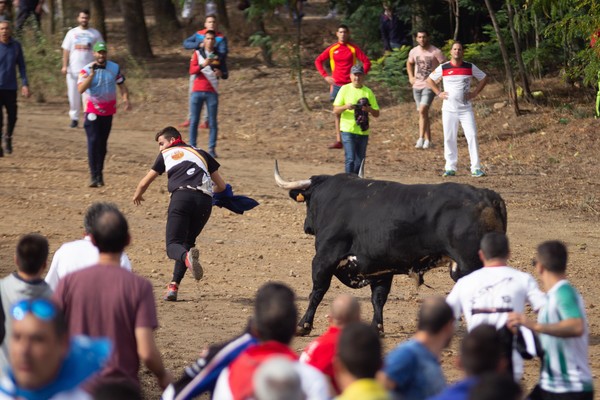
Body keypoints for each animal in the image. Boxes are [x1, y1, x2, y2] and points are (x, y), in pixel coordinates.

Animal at [276, 162, 506, 334]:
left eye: (308, 201)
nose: (306, 226)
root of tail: (488, 195)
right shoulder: (380, 267)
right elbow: (378, 298)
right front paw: (376, 327)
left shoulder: (324, 258)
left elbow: (318, 291)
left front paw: (304, 325)